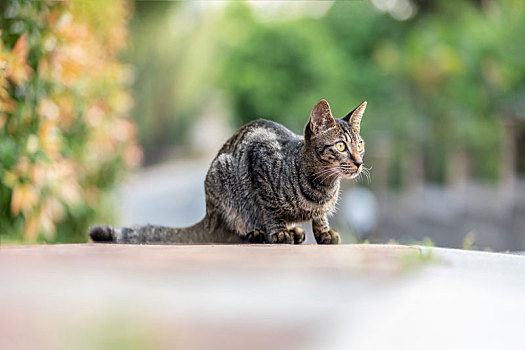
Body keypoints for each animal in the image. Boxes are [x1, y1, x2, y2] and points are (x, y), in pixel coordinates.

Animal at [88, 98, 366, 245]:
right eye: (341, 146)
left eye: (360, 145)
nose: (359, 162)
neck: (322, 188)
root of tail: (209, 214)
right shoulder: (259, 159)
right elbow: (270, 210)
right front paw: (278, 232)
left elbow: (320, 217)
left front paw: (324, 232)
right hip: (223, 176)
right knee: (237, 229)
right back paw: (258, 233)